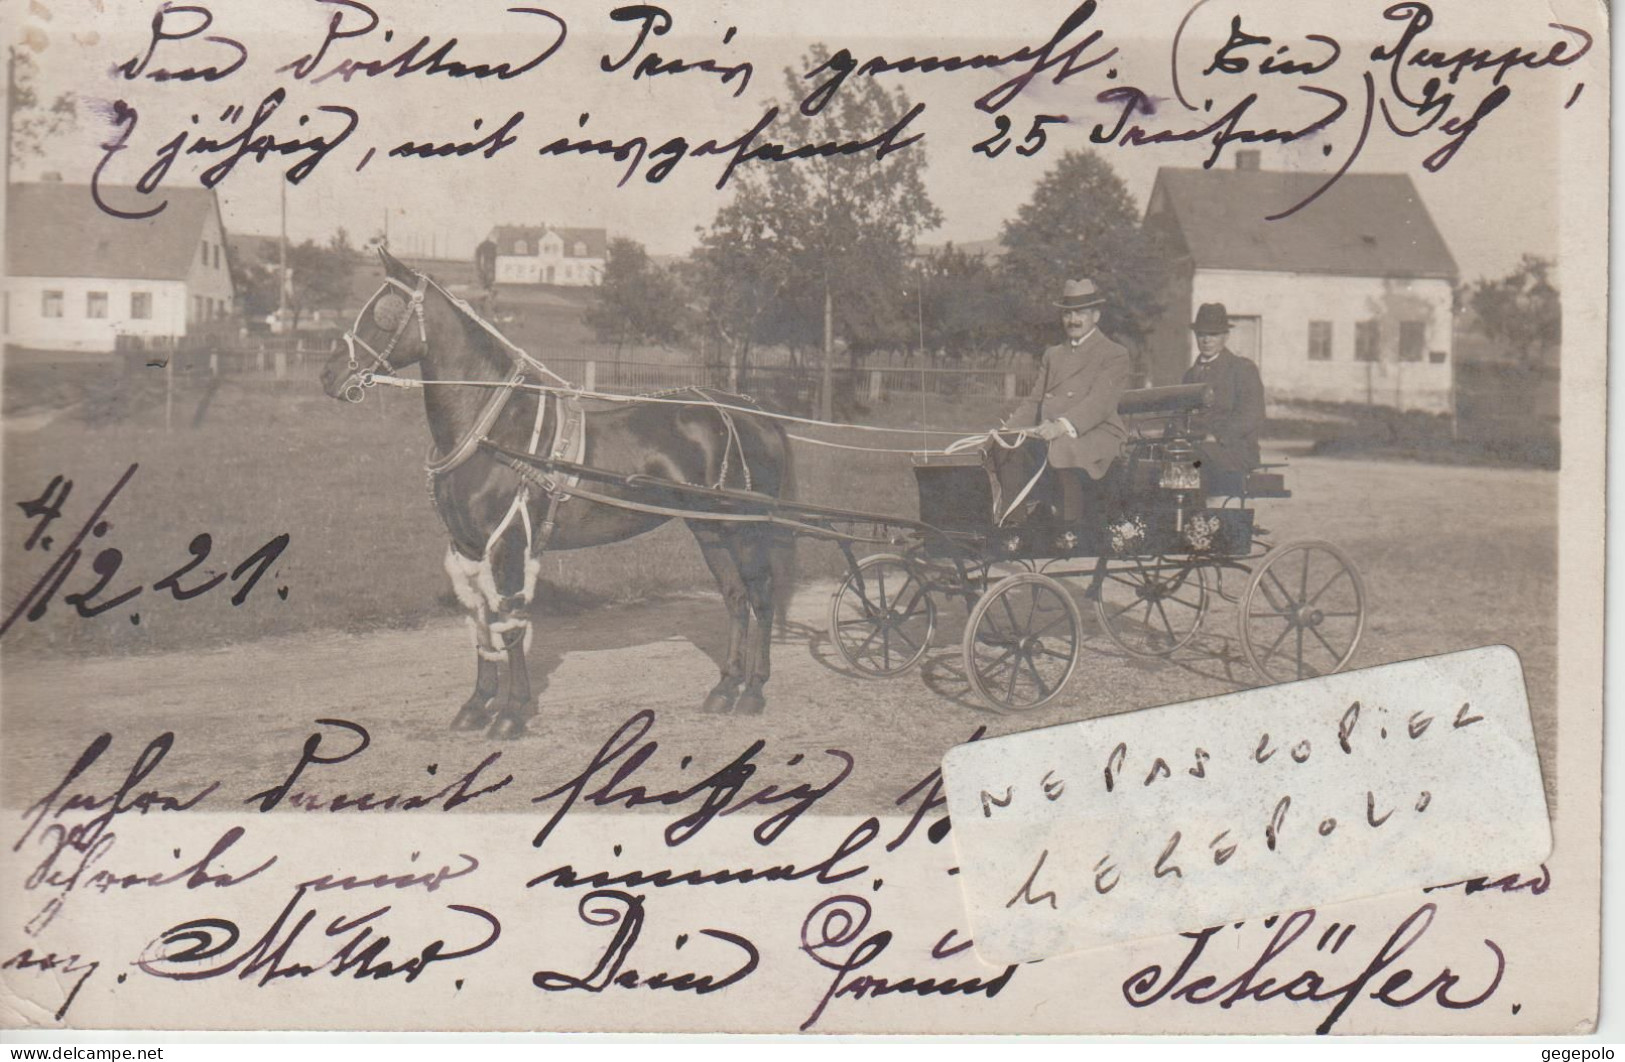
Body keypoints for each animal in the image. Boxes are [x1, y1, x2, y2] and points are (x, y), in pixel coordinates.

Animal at [315, 248, 793, 740]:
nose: (329, 375)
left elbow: (509, 627)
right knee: (734, 597)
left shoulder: (508, 544)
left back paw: (754, 691)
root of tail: (754, 411)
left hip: (744, 529)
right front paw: (477, 704)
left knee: (761, 595)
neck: (494, 432)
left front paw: (511, 712)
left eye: (384, 312)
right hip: (709, 529)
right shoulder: (469, 546)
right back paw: (725, 688)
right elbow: (481, 623)